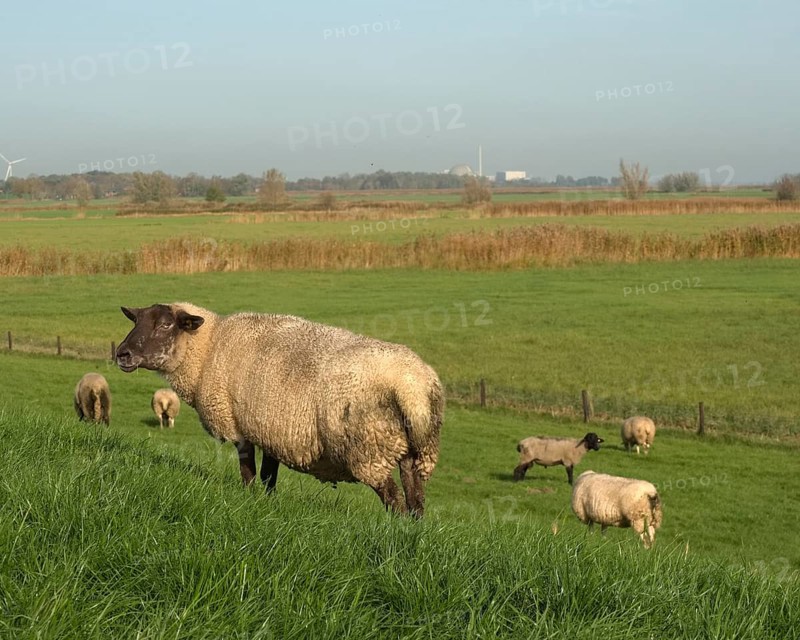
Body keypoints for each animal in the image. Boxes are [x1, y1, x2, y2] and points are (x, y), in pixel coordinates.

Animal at [115, 302, 444, 518]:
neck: (208, 348)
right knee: (416, 499)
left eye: (165, 325)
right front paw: (268, 502)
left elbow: (248, 472)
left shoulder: (239, 426)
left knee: (394, 500)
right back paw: (413, 531)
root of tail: (413, 386)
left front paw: (248, 500)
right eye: (136, 321)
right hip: (415, 450)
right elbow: (268, 476)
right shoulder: (270, 430)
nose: (121, 354)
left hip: (367, 448)